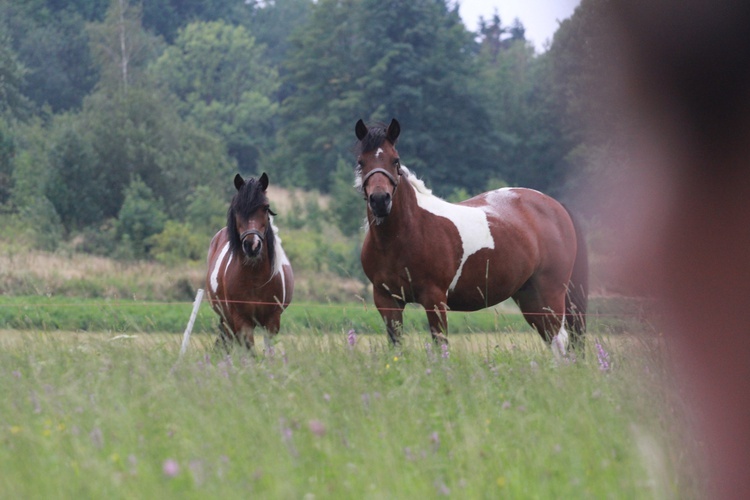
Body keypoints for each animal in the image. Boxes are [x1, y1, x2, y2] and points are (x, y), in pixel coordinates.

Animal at [209, 172, 296, 352]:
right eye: (237, 208)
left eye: (265, 207)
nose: (252, 245)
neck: (255, 277)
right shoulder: (242, 321)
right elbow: (249, 351)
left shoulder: (272, 321)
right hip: (227, 319)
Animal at [356, 118, 592, 356]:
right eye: (361, 162)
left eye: (395, 160)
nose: (380, 200)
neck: (402, 237)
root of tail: (556, 206)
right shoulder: (387, 300)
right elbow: (396, 345)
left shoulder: (435, 299)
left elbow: (440, 345)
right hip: (529, 297)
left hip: (550, 293)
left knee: (560, 342)